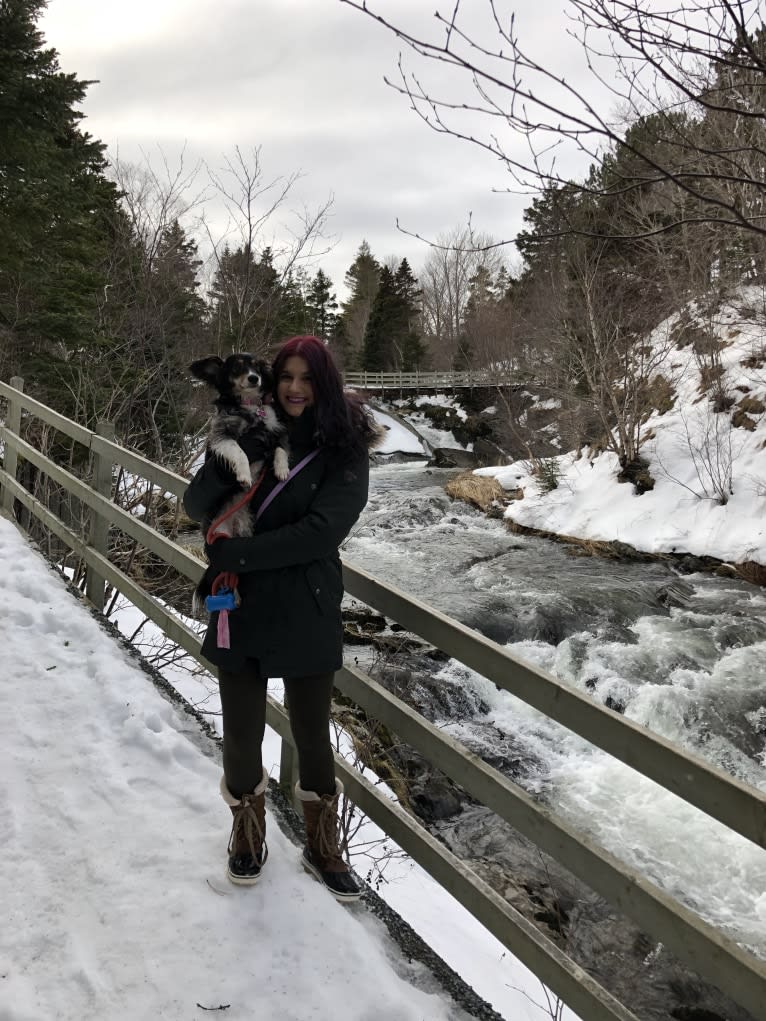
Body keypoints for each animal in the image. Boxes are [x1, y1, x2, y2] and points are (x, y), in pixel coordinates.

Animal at [188, 351, 290, 543]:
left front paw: (282, 469)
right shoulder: (222, 435)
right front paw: (244, 475)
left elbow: (281, 449)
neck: (249, 405)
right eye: (236, 367)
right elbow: (240, 451)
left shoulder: (275, 430)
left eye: (257, 366)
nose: (254, 378)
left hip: (245, 528)